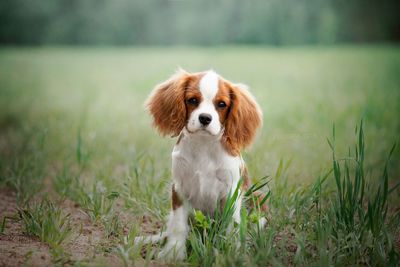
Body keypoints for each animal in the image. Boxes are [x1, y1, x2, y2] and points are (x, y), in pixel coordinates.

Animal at [137, 69, 266, 262]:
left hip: (257, 196)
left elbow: (233, 225)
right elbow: (178, 225)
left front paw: (233, 253)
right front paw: (173, 252)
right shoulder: (179, 188)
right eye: (192, 100)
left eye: (221, 104)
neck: (204, 144)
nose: (205, 118)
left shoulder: (231, 191)